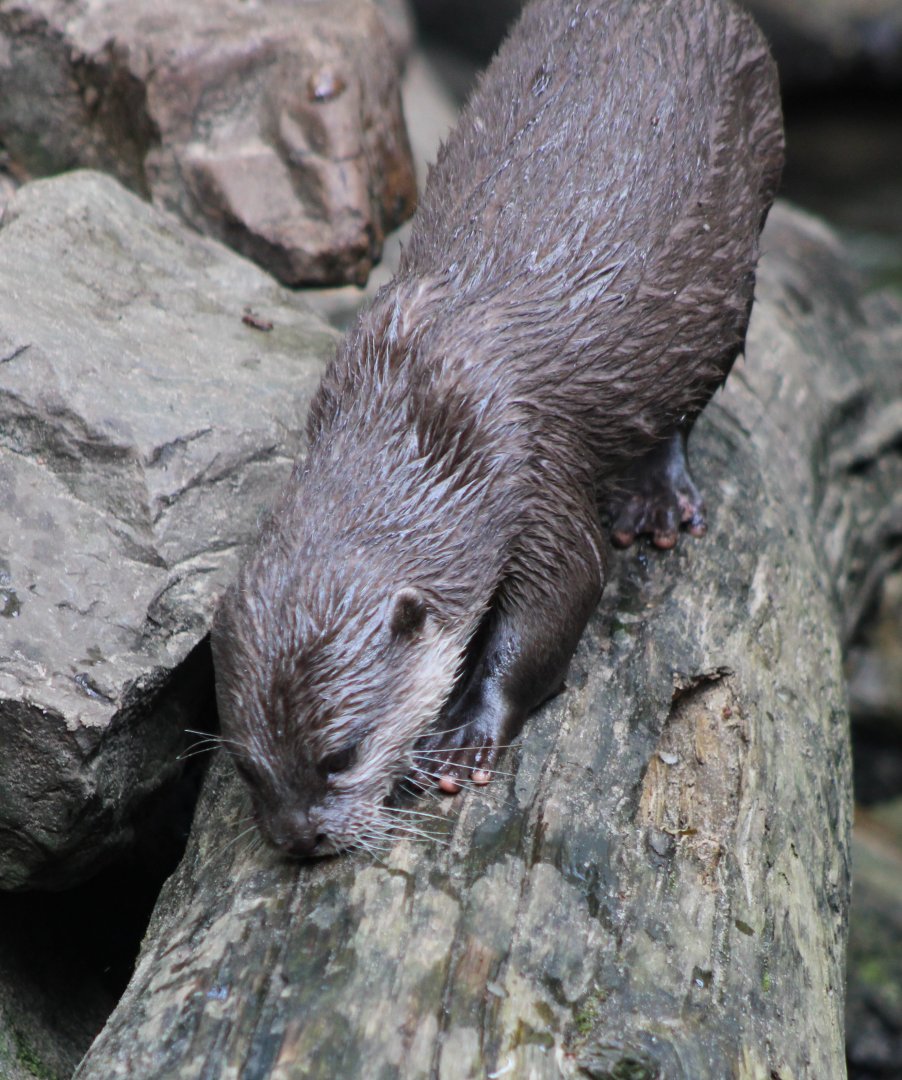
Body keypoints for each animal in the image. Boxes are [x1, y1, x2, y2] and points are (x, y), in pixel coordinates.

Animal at [210, 0, 784, 858]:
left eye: (339, 756)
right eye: (247, 765)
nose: (299, 837)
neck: (416, 415)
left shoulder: (529, 471)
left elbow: (563, 597)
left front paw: (463, 737)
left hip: (732, 254)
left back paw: (655, 496)